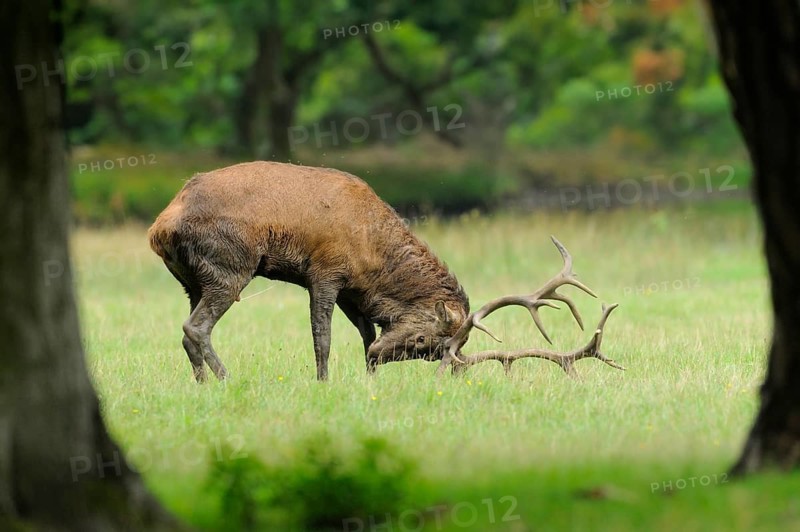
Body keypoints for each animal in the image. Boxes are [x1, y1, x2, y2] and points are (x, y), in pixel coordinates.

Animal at [147, 161, 623, 382]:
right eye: (427, 343)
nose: (381, 359)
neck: (371, 259)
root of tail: (160, 225)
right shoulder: (326, 270)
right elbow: (322, 336)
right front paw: (325, 382)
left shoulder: (352, 292)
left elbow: (364, 332)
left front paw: (367, 375)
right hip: (229, 266)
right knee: (195, 327)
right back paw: (227, 379)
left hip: (191, 279)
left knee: (188, 328)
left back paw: (202, 383)